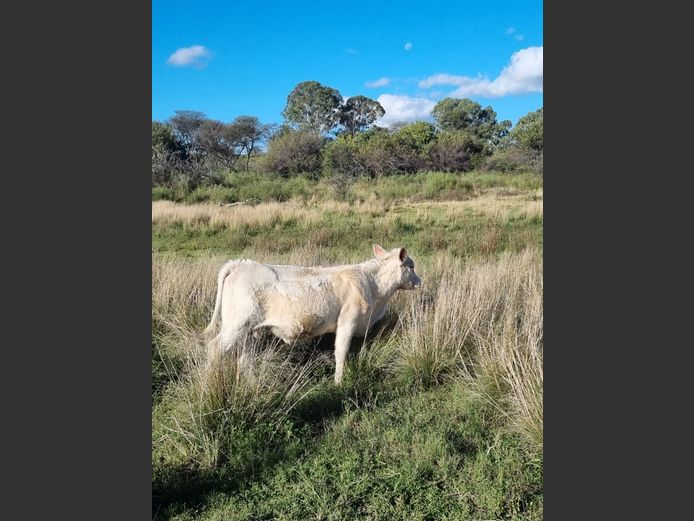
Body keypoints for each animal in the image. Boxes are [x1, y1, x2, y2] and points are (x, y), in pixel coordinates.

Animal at [204, 244, 422, 384]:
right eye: (411, 266)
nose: (420, 281)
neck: (372, 285)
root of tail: (240, 264)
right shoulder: (347, 321)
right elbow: (341, 351)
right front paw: (339, 382)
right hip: (235, 326)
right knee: (214, 348)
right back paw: (208, 382)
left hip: (248, 331)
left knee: (245, 359)